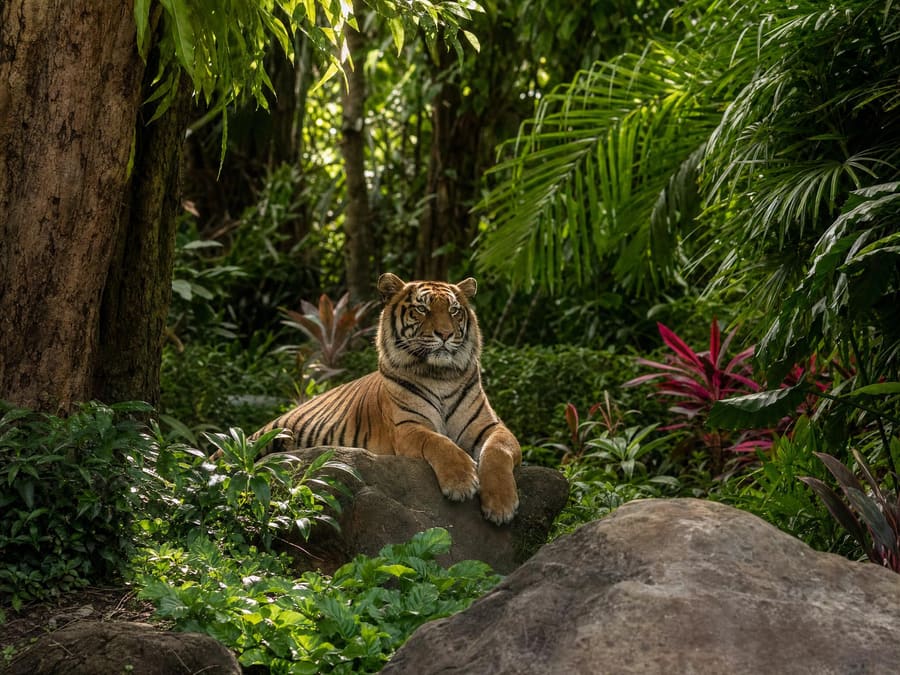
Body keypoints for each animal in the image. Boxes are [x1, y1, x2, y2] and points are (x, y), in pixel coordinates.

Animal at [251, 272, 522, 524]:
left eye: (454, 311)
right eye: (422, 309)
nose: (445, 334)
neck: (440, 375)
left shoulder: (490, 426)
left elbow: (498, 450)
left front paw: (501, 505)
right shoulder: (408, 427)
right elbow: (439, 442)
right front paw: (461, 481)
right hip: (266, 434)